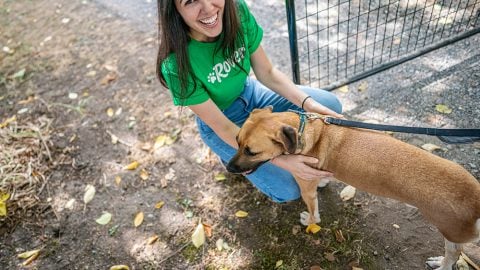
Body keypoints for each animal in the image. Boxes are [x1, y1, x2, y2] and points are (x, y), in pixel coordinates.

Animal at [228, 107, 480, 270]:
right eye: (237, 141)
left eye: (251, 151)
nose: (229, 168)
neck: (304, 131)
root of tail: (475, 195)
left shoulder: (305, 188)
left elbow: (314, 214)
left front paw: (309, 220)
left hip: (449, 231)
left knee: (455, 253)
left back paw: (443, 265)